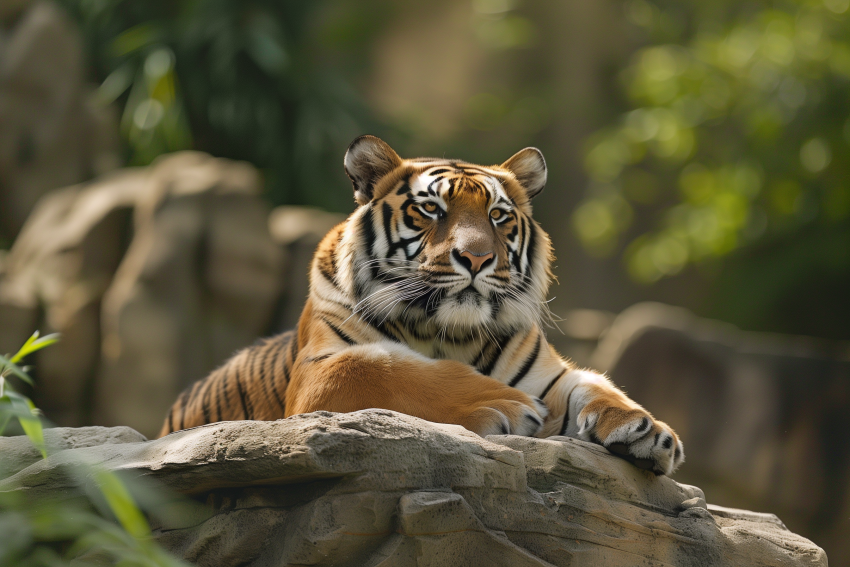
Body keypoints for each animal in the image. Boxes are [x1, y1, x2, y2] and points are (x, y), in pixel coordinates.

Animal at [159, 135, 685, 476]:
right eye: (431, 209)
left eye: (498, 215)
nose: (477, 257)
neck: (449, 332)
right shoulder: (319, 371)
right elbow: (389, 368)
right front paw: (506, 405)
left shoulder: (548, 374)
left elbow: (594, 383)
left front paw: (646, 430)